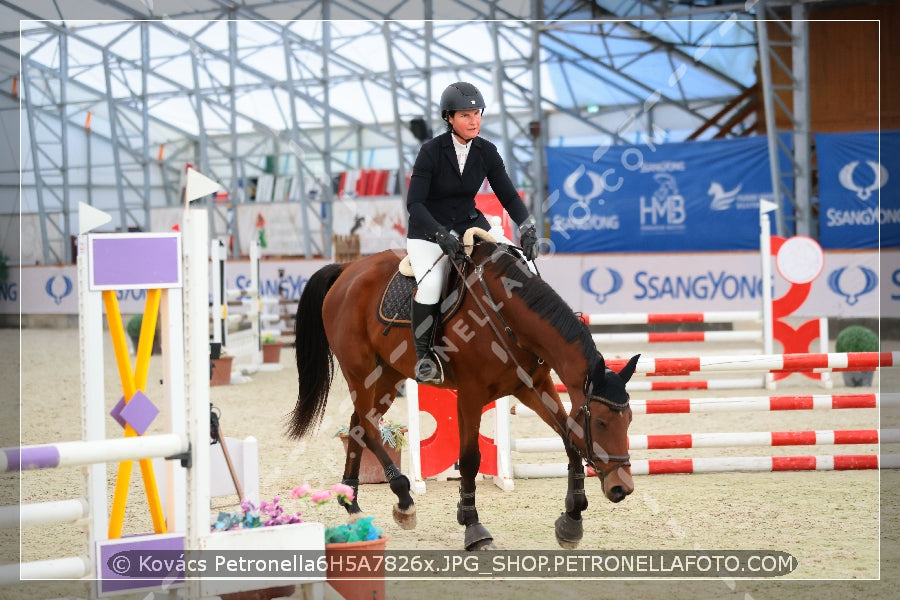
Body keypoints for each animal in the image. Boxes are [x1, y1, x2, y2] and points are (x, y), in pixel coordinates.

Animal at [290, 237, 640, 552]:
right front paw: (473, 527)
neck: (508, 319)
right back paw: (403, 498)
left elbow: (570, 438)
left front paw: (571, 520)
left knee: (358, 424)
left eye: (629, 421)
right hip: (360, 371)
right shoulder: (471, 395)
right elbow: (470, 459)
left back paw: (351, 503)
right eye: (603, 423)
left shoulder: (533, 387)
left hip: (389, 374)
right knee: (369, 425)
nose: (622, 487)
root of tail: (347, 270)